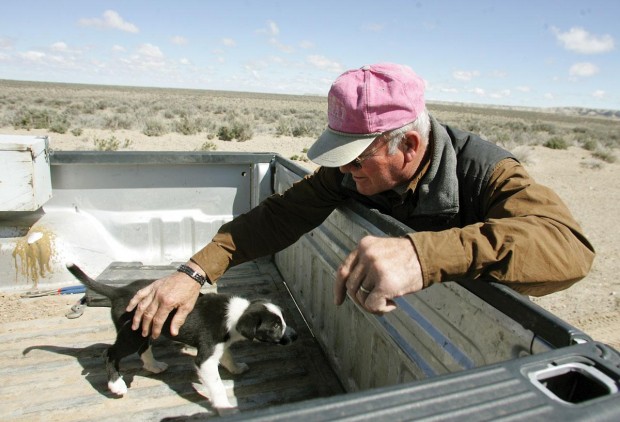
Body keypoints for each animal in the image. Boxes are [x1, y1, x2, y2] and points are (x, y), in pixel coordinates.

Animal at [66, 262, 300, 414]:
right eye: (275, 326)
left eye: (282, 321)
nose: (295, 335)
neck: (237, 315)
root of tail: (118, 292)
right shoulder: (205, 358)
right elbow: (216, 385)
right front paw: (225, 407)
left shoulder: (219, 347)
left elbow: (228, 357)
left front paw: (235, 368)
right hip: (131, 334)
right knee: (110, 353)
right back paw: (117, 385)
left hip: (145, 328)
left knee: (143, 349)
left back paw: (154, 366)